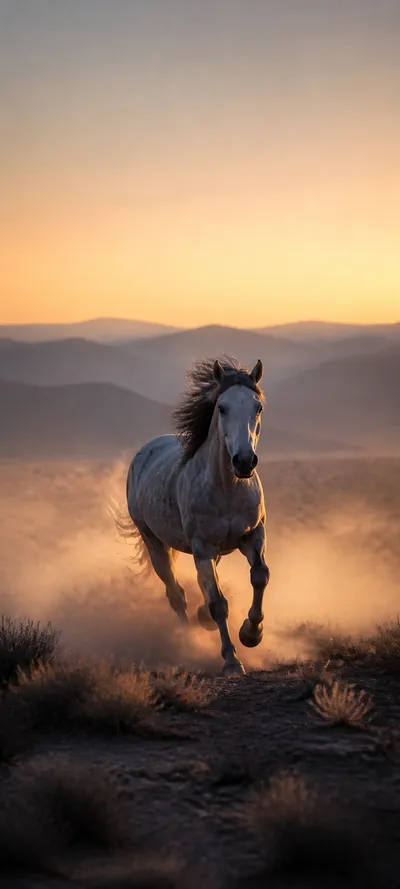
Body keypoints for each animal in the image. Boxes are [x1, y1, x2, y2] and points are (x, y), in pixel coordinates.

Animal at [123, 356, 270, 675]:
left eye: (258, 407)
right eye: (222, 407)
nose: (244, 461)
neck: (228, 487)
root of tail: (147, 450)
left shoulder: (254, 536)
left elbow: (260, 576)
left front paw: (251, 633)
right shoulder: (202, 548)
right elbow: (218, 603)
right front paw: (232, 660)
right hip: (155, 543)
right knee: (176, 594)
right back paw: (188, 640)